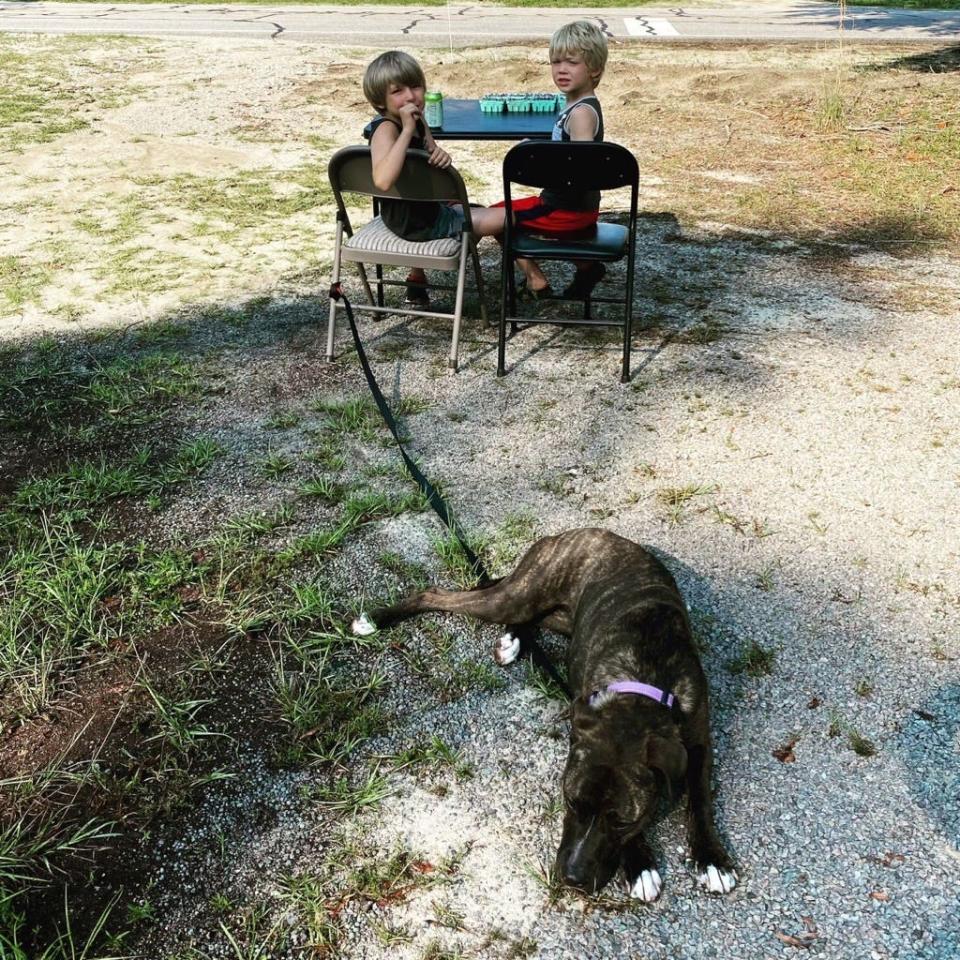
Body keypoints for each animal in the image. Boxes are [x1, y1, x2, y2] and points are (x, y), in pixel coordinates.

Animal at [352, 524, 736, 900]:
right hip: (516, 598)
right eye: (572, 801)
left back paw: (511, 641)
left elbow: (700, 799)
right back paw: (375, 619)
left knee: (529, 617)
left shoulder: (698, 742)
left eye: (622, 821)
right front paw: (640, 864)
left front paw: (712, 859)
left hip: (562, 616)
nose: (572, 878)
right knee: (438, 594)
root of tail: (572, 533)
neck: (644, 676)